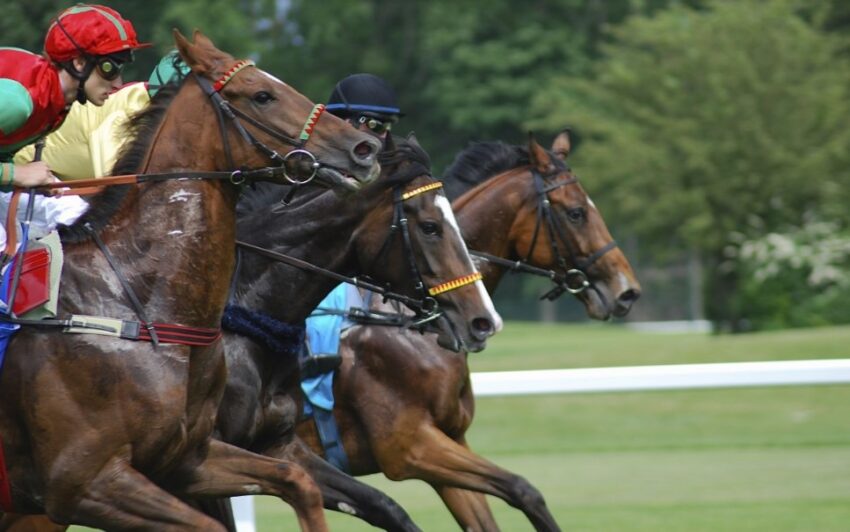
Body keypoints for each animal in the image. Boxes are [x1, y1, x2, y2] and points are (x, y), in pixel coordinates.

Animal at [0, 30, 380, 532]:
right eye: (262, 95)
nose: (364, 148)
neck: (136, 304)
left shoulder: (187, 458)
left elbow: (298, 480)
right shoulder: (84, 483)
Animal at [294, 136, 640, 532]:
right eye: (576, 213)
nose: (627, 291)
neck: (409, 325)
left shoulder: (450, 439)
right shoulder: (408, 447)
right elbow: (523, 489)